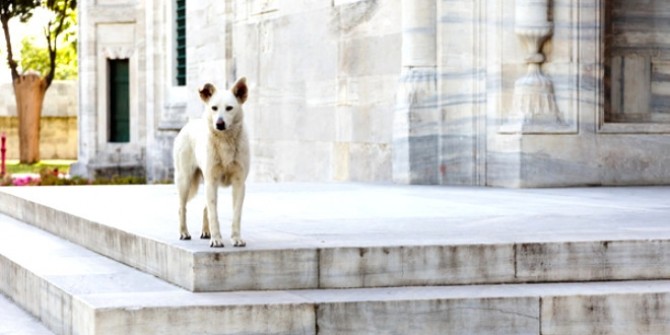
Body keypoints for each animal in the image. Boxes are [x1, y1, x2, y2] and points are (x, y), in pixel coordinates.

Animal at [173, 77, 249, 248]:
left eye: (229, 108)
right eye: (214, 108)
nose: (219, 124)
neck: (225, 142)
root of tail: (188, 124)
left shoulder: (239, 182)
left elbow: (236, 214)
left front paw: (236, 238)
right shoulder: (211, 180)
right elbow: (214, 215)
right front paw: (217, 240)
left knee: (205, 207)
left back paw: (205, 232)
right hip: (185, 180)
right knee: (181, 207)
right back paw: (183, 233)